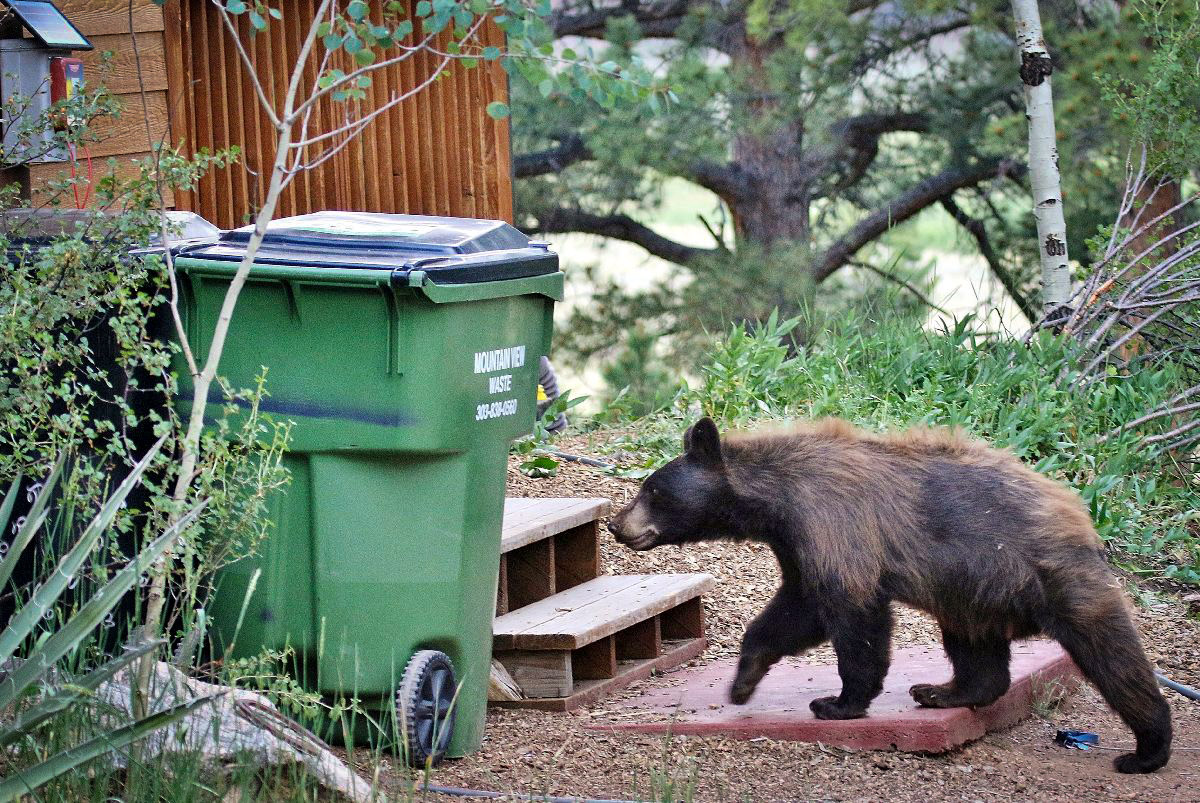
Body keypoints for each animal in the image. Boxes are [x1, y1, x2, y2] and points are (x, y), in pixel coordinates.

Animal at [609, 412, 1171, 768]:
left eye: (651, 490)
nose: (617, 525)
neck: (776, 497)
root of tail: (1077, 511)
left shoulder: (837, 524)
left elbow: (852, 615)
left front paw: (838, 703)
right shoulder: (800, 541)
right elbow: (796, 609)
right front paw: (744, 681)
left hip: (1051, 575)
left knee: (1111, 654)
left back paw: (1147, 747)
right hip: (972, 588)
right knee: (974, 645)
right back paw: (944, 691)